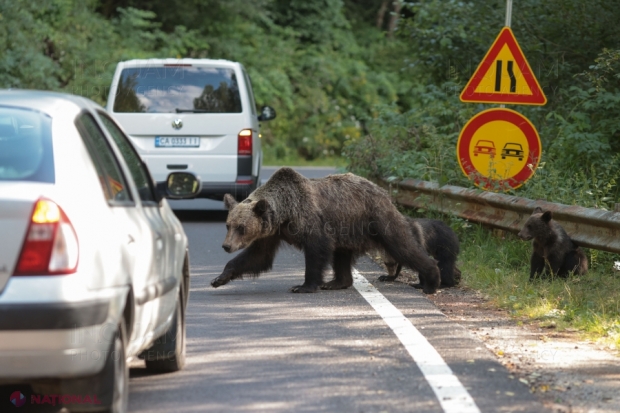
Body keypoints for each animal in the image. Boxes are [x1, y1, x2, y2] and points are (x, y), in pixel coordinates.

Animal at [209, 167, 440, 292]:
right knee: (342, 255)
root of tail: (382, 190)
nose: (226, 246)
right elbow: (257, 256)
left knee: (402, 244)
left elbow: (316, 250)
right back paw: (337, 282)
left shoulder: (309, 220)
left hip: (376, 218)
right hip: (347, 228)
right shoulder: (273, 231)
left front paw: (303, 286)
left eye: (241, 227)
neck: (285, 212)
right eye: (228, 225)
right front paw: (219, 278)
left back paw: (431, 279)